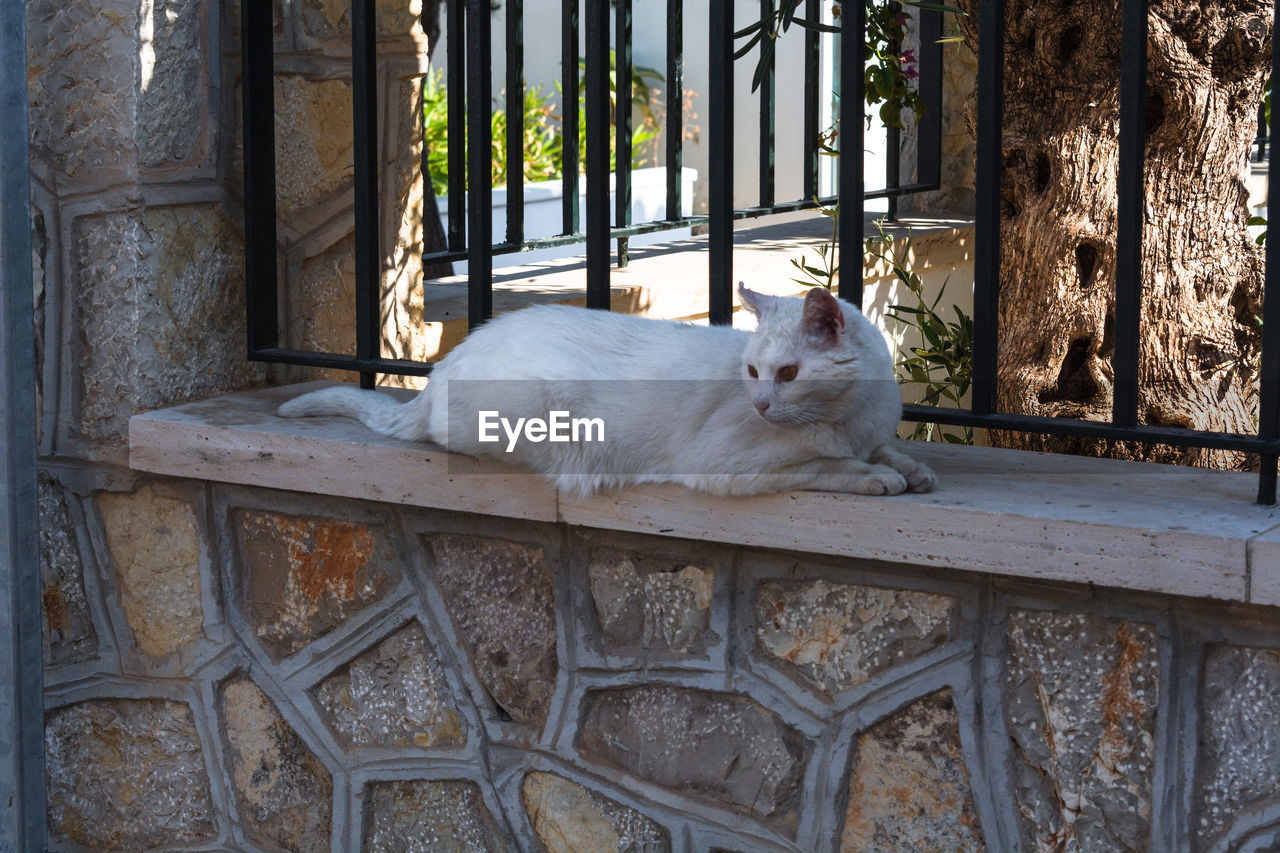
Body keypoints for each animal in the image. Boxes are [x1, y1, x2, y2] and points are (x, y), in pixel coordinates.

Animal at [280, 284, 936, 494]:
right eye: (754, 373)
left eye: (788, 375)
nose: (760, 403)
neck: (850, 414)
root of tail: (442, 369)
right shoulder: (728, 463)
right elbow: (823, 464)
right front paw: (877, 476)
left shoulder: (870, 428)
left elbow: (887, 448)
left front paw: (910, 468)